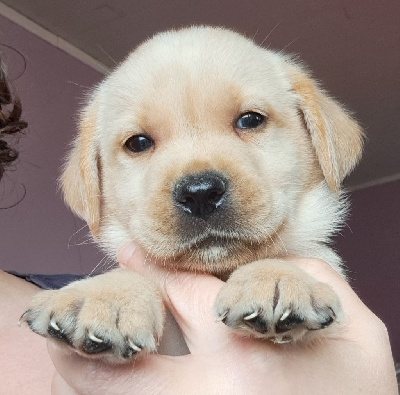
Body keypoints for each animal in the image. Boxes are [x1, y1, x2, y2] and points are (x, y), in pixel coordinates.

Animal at [23, 26, 364, 364]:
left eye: (251, 120)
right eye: (138, 143)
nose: (200, 194)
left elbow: (285, 257)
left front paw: (276, 277)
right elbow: (136, 274)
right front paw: (106, 295)